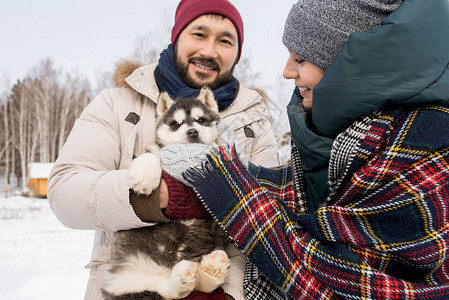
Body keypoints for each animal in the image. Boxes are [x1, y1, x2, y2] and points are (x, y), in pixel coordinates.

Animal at [102, 87, 231, 300]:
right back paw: (185, 276)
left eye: (201, 120)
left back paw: (210, 270)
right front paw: (145, 176)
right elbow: (152, 156)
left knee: (196, 287)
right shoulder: (153, 152)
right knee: (170, 290)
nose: (192, 131)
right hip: (126, 280)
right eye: (175, 124)